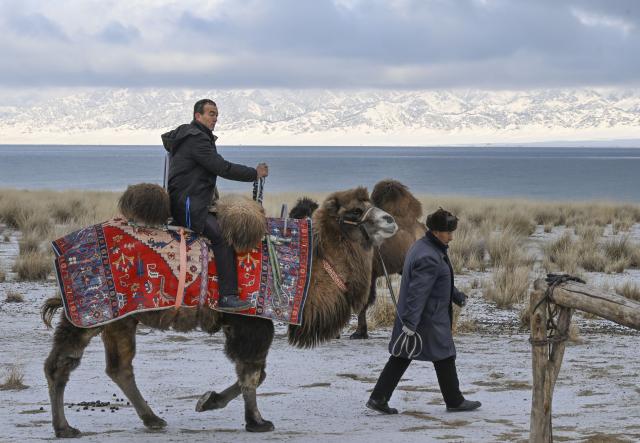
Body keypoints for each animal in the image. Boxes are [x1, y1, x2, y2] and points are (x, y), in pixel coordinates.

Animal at [41, 184, 397, 438]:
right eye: (356, 210)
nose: (390, 220)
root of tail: (61, 249)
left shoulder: (242, 324)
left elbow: (254, 373)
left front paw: (208, 401)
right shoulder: (252, 320)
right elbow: (252, 373)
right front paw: (256, 421)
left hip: (121, 319)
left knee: (119, 367)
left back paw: (152, 419)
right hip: (90, 312)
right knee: (62, 363)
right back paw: (65, 428)